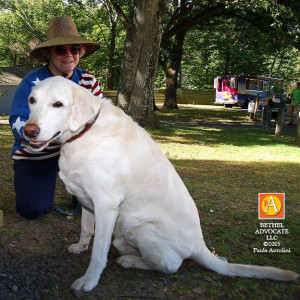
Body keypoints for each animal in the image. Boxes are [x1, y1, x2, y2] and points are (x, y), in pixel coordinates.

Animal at [22, 77, 298, 292]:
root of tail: (200, 245)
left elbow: (98, 253)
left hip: (140, 228)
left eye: (58, 104)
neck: (83, 132)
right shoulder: (87, 202)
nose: (29, 131)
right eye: (32, 100)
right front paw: (80, 246)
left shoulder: (106, 206)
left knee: (170, 265)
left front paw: (88, 281)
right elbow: (85, 229)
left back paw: (130, 262)